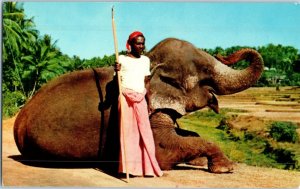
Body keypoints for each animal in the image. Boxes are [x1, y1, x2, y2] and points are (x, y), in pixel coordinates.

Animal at [13, 38, 262, 174]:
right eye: (206, 73)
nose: (224, 53)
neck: (150, 58)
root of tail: (18, 121)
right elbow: (162, 151)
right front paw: (224, 167)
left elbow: (187, 135)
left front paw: (199, 160)